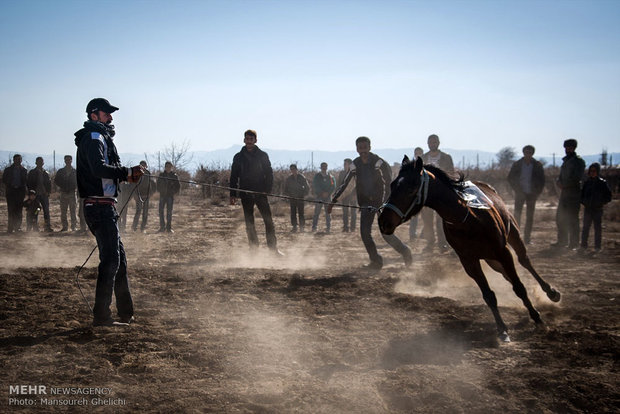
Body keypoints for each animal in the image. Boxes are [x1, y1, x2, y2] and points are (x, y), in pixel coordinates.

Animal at [378, 156, 560, 342]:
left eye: (411, 188)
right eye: (392, 185)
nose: (383, 221)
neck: (466, 217)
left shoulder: (503, 252)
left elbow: (519, 287)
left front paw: (537, 317)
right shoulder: (469, 261)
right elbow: (489, 295)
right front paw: (502, 330)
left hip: (513, 236)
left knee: (524, 261)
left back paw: (551, 292)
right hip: (491, 259)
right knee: (506, 274)